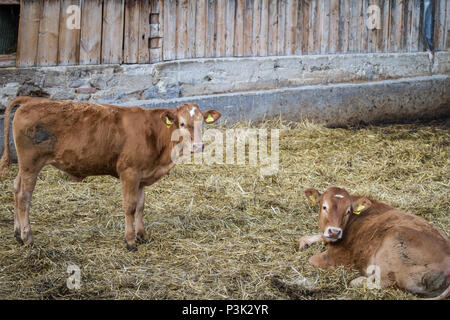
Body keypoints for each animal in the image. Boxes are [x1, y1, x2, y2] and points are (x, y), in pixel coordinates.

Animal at [0, 96, 221, 251]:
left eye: (202, 122)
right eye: (182, 124)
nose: (199, 146)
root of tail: (30, 100)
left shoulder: (142, 176)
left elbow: (141, 206)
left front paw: (142, 235)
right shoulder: (129, 173)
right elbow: (130, 207)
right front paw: (130, 241)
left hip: (24, 167)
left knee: (15, 187)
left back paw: (17, 234)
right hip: (31, 164)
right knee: (24, 197)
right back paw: (27, 237)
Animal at [298, 186, 450, 298]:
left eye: (348, 211)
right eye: (324, 207)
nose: (335, 232)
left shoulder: (339, 257)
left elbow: (311, 260)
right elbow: (308, 237)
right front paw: (304, 242)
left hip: (392, 242)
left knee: (384, 282)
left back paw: (358, 280)